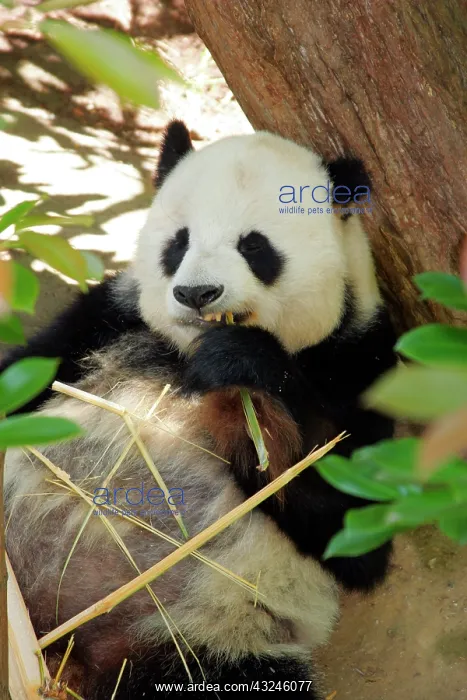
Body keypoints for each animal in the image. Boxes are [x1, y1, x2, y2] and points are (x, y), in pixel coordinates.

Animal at [2, 120, 398, 699]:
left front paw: (243, 376)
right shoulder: (105, 319)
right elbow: (27, 377)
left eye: (254, 246)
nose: (196, 293)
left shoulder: (359, 363)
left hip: (199, 632)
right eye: (179, 242)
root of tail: (64, 647)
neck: (187, 353)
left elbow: (353, 529)